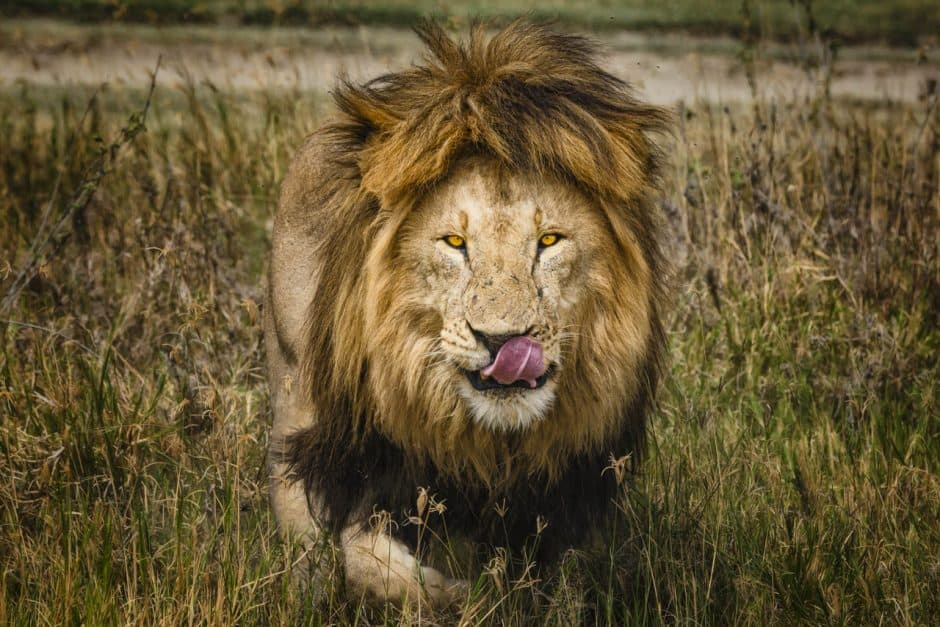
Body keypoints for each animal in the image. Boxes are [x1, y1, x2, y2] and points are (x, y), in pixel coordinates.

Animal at [266, 22, 668, 604]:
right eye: (455, 242)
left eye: (549, 240)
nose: (503, 342)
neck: (489, 444)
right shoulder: (338, 456)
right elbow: (353, 558)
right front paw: (450, 594)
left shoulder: (570, 497)